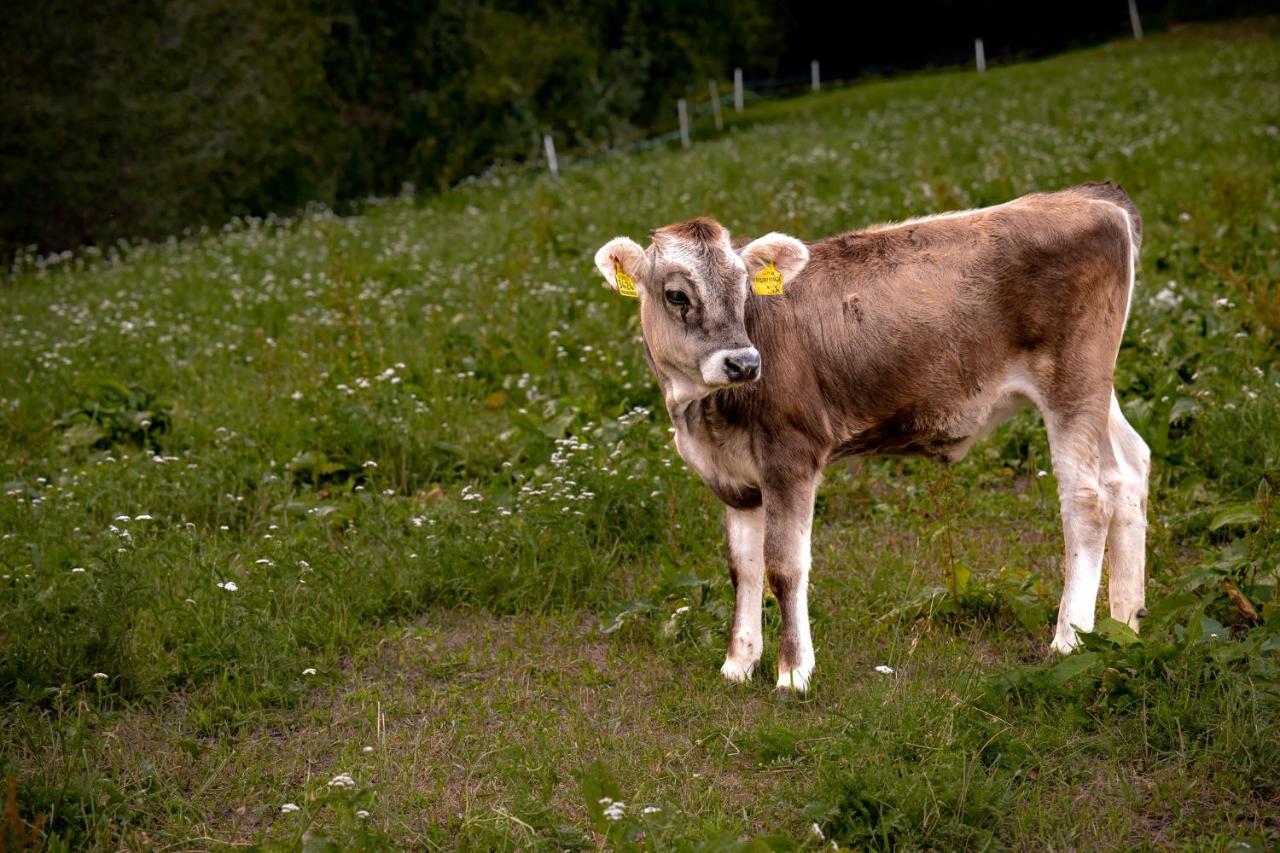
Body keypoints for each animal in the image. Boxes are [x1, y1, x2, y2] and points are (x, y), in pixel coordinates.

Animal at [593, 183, 1157, 686]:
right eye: (676, 295)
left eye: (745, 290)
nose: (744, 362)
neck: (698, 414)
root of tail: (1090, 196)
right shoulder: (733, 479)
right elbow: (743, 568)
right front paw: (737, 664)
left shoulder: (791, 457)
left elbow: (784, 566)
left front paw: (793, 672)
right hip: (1098, 387)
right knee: (1128, 470)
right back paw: (1124, 625)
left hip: (1071, 379)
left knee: (1086, 499)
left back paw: (1069, 640)